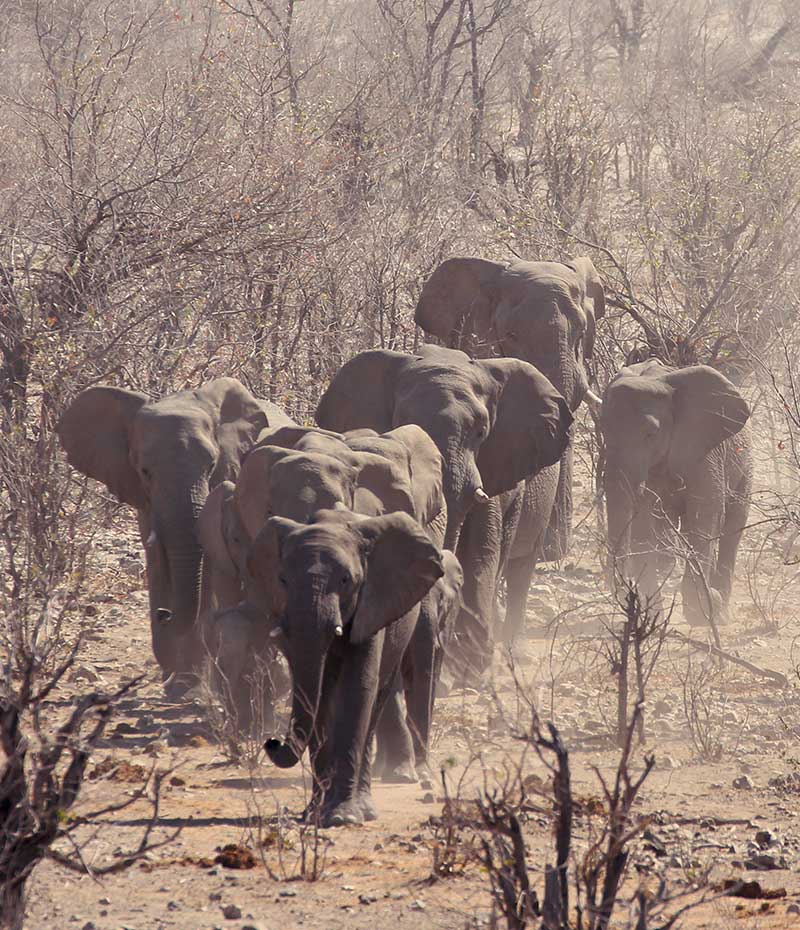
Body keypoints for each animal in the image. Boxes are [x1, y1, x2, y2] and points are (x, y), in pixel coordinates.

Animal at [58, 378, 292, 691]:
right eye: (145, 471)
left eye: (211, 465)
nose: (163, 615)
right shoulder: (143, 497)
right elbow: (158, 560)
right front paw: (175, 675)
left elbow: (204, 571)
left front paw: (186, 682)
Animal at [252, 508, 446, 826]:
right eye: (282, 580)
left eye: (346, 580)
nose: (272, 741)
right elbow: (318, 695)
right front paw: (315, 814)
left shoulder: (372, 604)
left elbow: (357, 689)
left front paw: (343, 817)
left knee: (375, 703)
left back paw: (365, 810)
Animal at [315, 344, 573, 666]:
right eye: (403, 424)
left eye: (481, 431)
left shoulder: (496, 463)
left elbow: (481, 551)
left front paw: (473, 659)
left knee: (519, 569)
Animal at [601, 360, 752, 627]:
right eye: (602, 428)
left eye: (651, 433)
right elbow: (643, 525)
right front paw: (653, 620)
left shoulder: (704, 451)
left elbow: (706, 515)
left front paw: (702, 613)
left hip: (745, 466)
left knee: (732, 528)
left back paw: (722, 613)